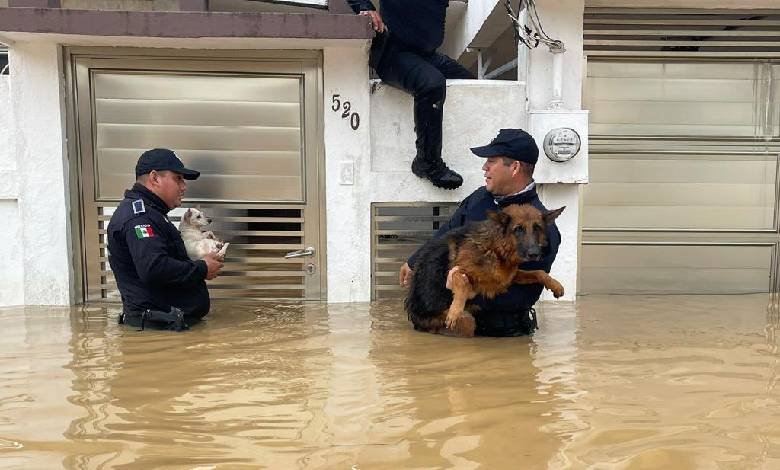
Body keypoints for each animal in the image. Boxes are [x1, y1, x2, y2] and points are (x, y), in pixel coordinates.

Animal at [106, 150, 222, 330]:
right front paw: (212, 236)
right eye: (198, 216)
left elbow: (207, 232)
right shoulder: (196, 239)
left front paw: (212, 233)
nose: (209, 219)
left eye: (203, 214)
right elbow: (204, 236)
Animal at [406, 204, 564, 336]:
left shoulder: (509, 277)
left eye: (537, 228)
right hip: (459, 321)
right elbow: (462, 283)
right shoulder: (458, 270)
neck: (496, 250)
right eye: (518, 229)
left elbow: (538, 272)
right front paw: (455, 309)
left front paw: (555, 285)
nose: (535, 254)